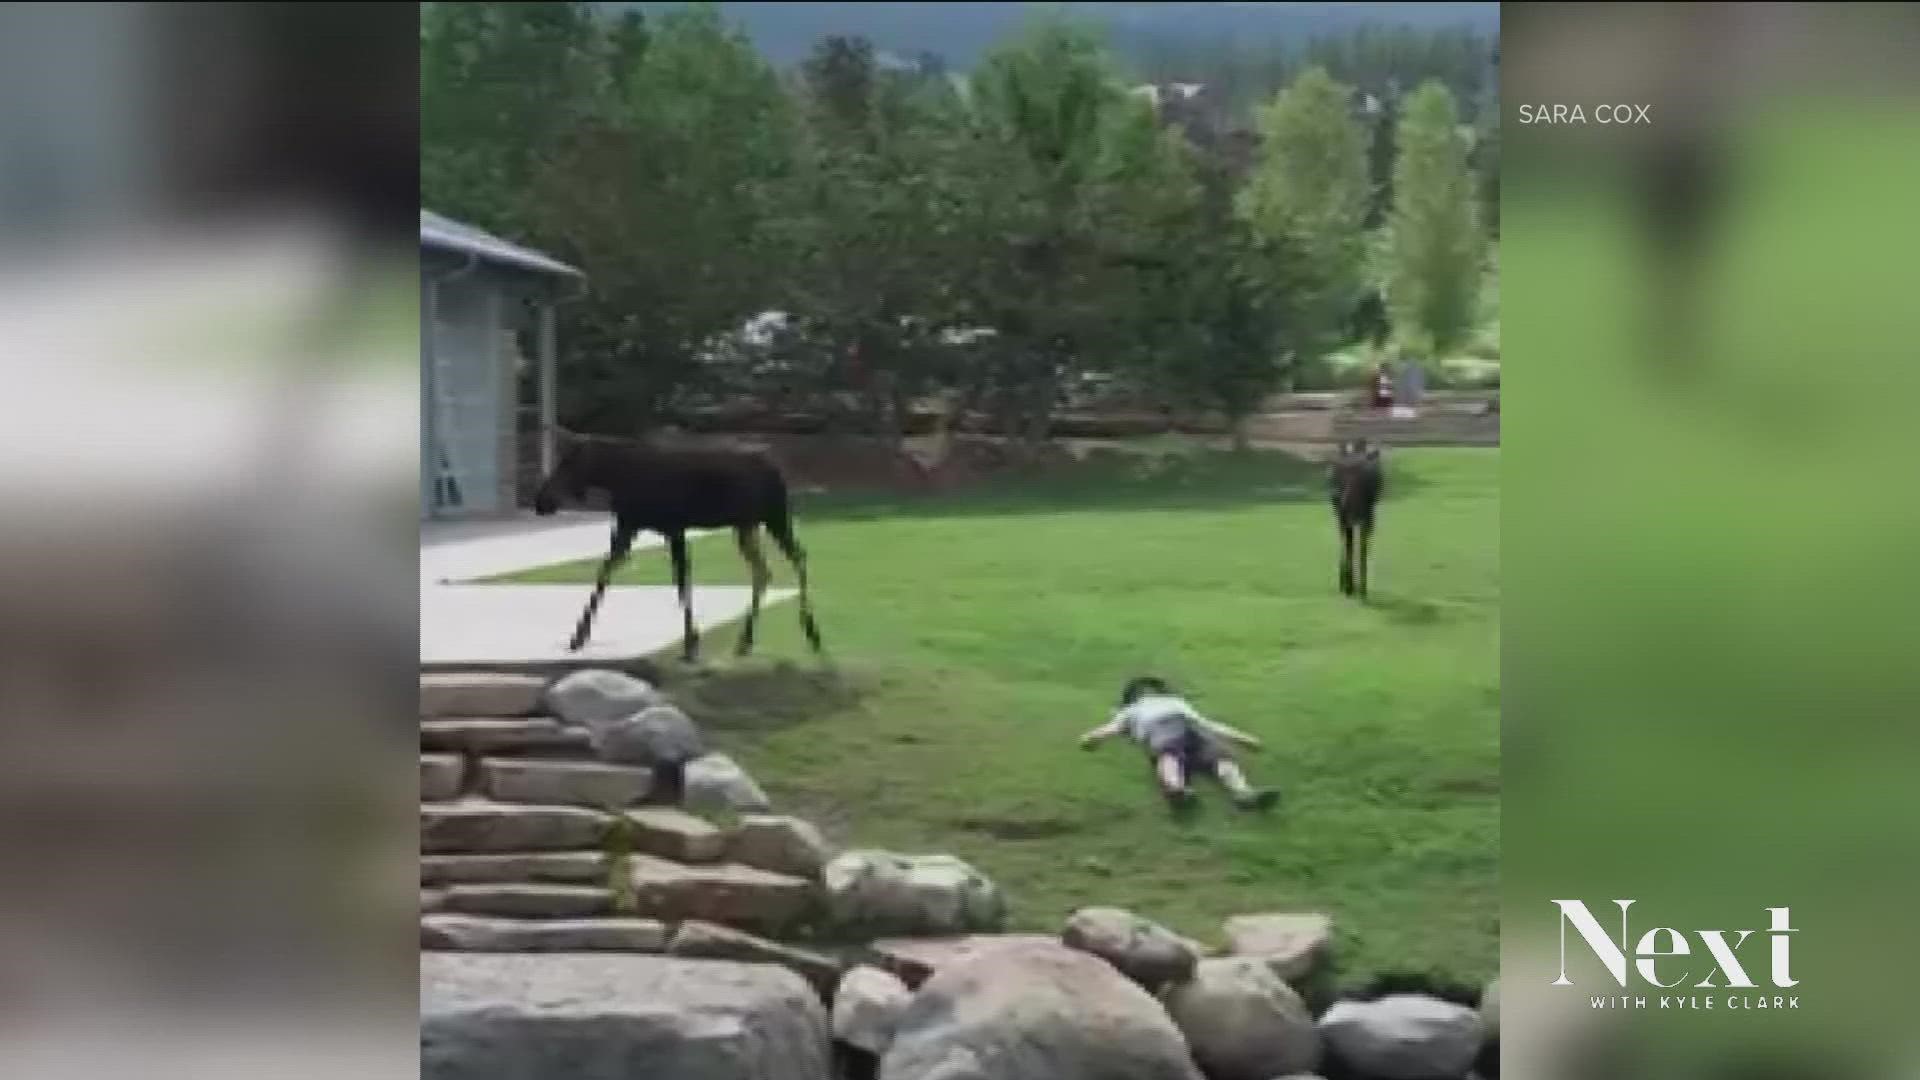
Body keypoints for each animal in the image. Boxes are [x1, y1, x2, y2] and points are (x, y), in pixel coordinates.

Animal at [529, 432, 821, 661]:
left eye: (567, 464)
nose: (541, 501)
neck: (618, 477)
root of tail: (777, 471)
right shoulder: (628, 526)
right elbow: (604, 573)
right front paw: (578, 636)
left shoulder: (673, 528)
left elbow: (681, 581)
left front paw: (691, 643)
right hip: (746, 525)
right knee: (764, 570)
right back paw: (745, 641)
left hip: (775, 516)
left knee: (799, 557)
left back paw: (811, 632)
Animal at [1328, 440, 1390, 607]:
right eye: (1339, 472)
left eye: (1366, 475)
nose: (1348, 505)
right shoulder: (1346, 518)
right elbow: (1349, 547)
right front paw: (1349, 587)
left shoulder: (1367, 518)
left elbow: (1361, 549)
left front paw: (1360, 589)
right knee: (1346, 543)